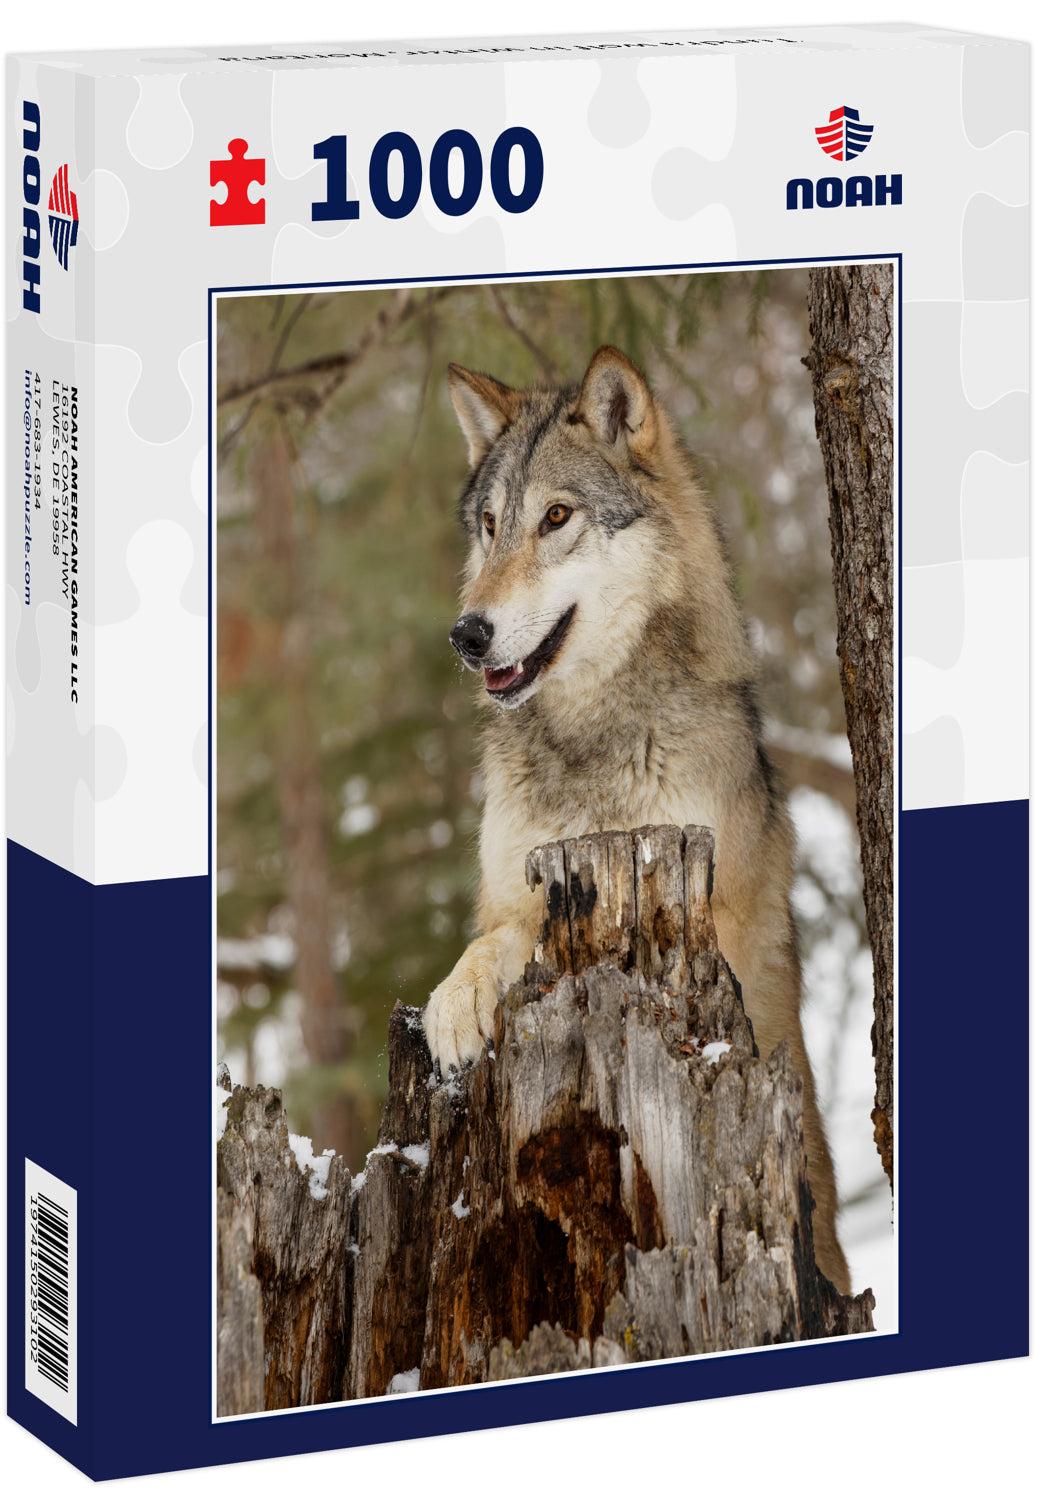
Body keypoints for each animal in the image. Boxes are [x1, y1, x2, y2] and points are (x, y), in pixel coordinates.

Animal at [422, 345, 850, 1293]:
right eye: (491, 526)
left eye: (556, 517)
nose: (467, 634)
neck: (592, 744)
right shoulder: (506, 891)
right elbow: (494, 935)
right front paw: (456, 1000)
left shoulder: (703, 907)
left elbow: (541, 934)